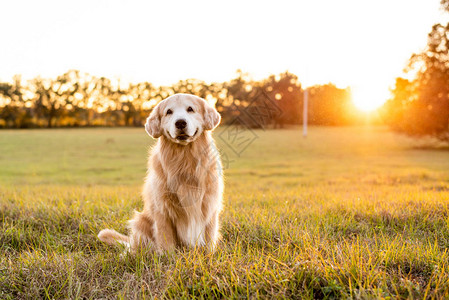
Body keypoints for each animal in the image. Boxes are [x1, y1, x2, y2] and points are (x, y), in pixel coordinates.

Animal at [98, 94, 224, 253]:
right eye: (169, 112)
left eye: (190, 109)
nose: (180, 123)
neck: (184, 158)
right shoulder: (162, 209)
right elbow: (166, 239)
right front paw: (167, 256)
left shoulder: (209, 205)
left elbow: (209, 238)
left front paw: (208, 255)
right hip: (141, 221)